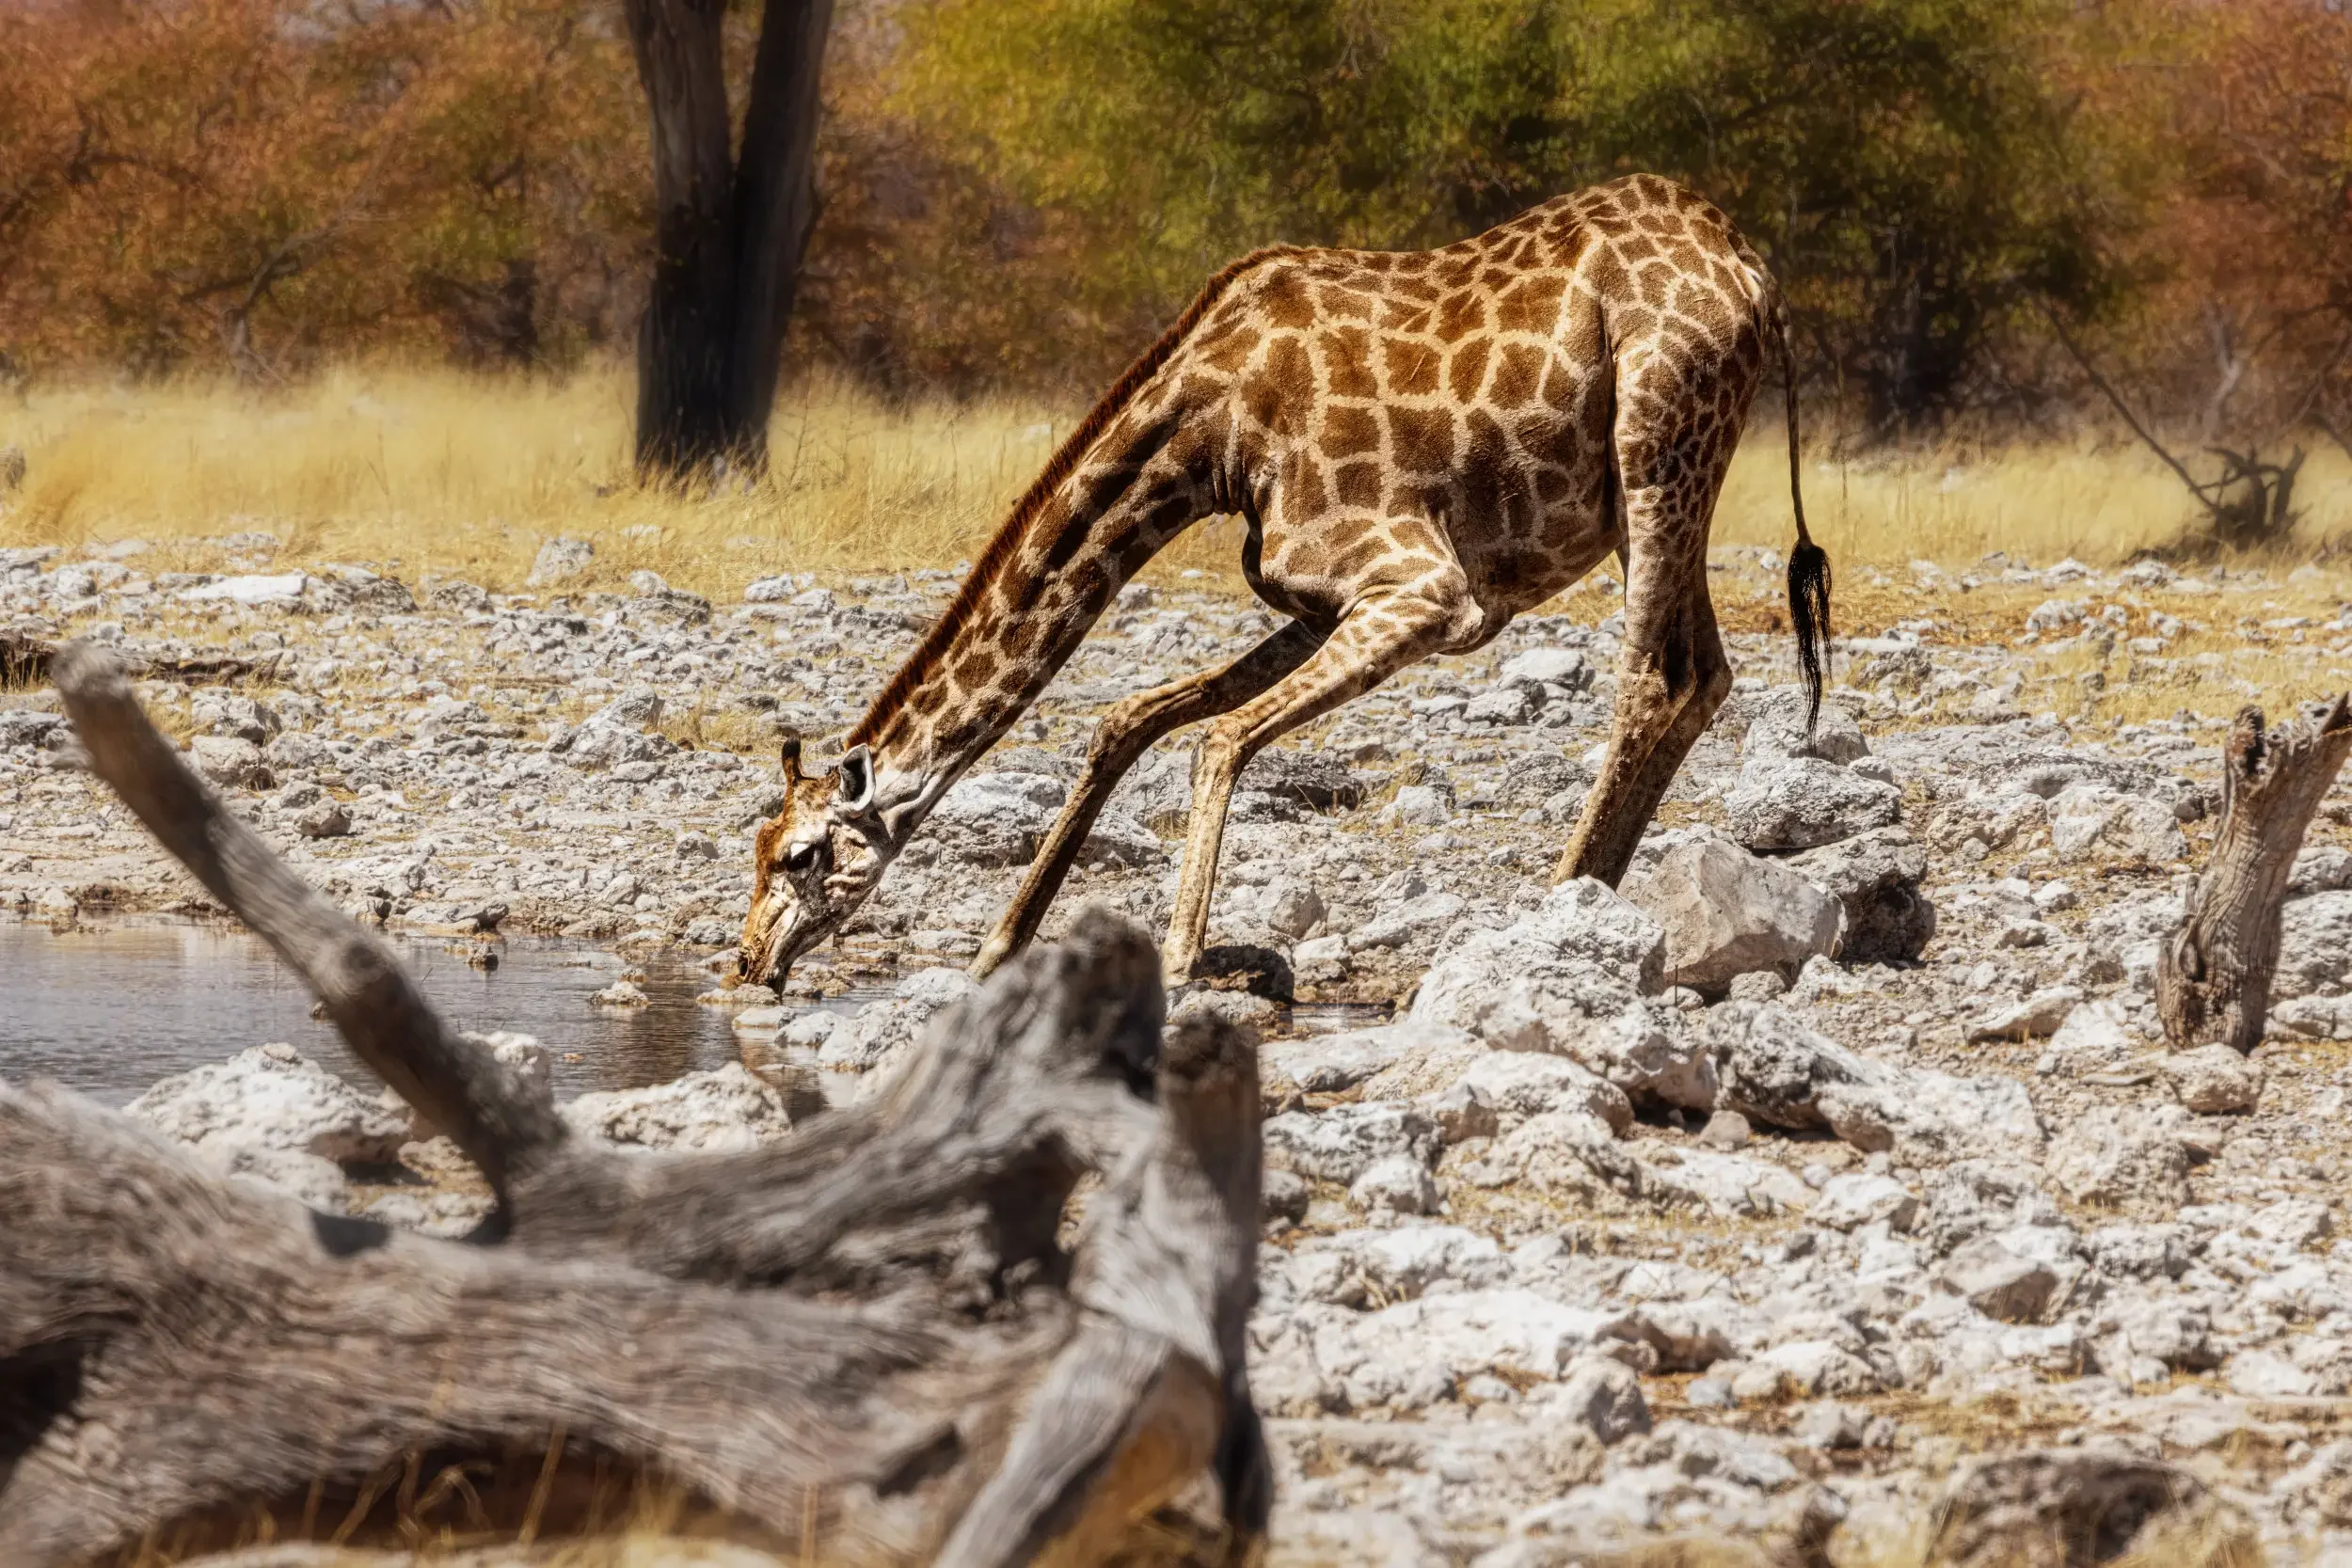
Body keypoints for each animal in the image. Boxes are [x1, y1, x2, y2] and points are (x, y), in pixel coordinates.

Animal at [738, 173, 1831, 992]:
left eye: (801, 854)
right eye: (757, 846)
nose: (747, 960)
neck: (1207, 432)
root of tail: (1755, 273)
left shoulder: (1425, 588)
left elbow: (1216, 738)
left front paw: (1179, 954)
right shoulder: (1313, 600)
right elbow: (1130, 719)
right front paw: (1000, 944)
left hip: (1656, 443)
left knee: (1649, 676)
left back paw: (1556, 907)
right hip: (1659, 486)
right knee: (1703, 673)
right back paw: (1593, 896)